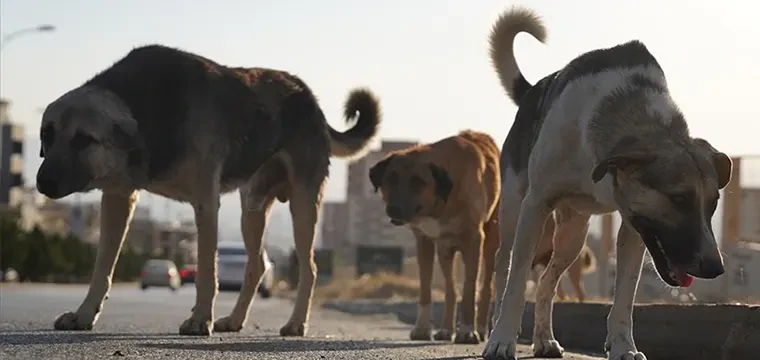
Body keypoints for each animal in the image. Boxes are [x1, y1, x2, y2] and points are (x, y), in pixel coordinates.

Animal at [37, 44, 380, 338]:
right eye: (46, 135)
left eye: (84, 140)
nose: (43, 183)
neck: (146, 109)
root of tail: (308, 96)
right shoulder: (119, 198)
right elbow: (102, 267)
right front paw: (84, 315)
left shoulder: (205, 202)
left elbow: (205, 270)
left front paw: (201, 320)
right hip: (252, 208)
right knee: (257, 265)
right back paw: (236, 320)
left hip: (304, 204)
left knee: (309, 267)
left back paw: (296, 323)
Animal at [366, 129, 498, 344]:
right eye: (390, 179)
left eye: (418, 182)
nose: (393, 209)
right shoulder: (424, 241)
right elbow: (425, 290)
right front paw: (422, 328)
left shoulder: (474, 240)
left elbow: (469, 290)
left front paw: (467, 331)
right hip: (445, 250)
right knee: (451, 290)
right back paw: (446, 330)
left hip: (491, 243)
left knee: (485, 287)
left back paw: (480, 329)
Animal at [486, 6, 732, 360]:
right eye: (679, 198)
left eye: (713, 204)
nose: (715, 268)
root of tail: (533, 91)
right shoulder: (536, 205)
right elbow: (516, 285)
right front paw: (502, 339)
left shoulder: (635, 228)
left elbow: (625, 298)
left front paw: (623, 346)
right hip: (513, 212)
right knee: (503, 267)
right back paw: (494, 329)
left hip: (573, 236)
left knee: (547, 280)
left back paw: (544, 339)